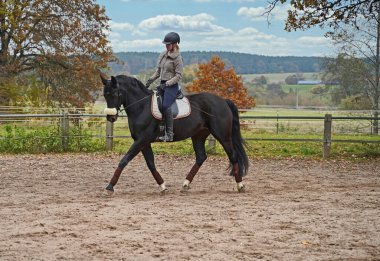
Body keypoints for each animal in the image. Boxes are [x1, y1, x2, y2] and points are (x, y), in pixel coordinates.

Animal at [101, 74, 249, 192]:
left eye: (115, 94)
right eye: (105, 95)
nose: (111, 118)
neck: (141, 106)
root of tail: (223, 101)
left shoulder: (141, 140)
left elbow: (124, 160)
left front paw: (110, 186)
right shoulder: (143, 142)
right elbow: (150, 164)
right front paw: (162, 186)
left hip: (223, 136)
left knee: (233, 156)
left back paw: (240, 185)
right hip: (198, 136)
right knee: (201, 157)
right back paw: (186, 184)